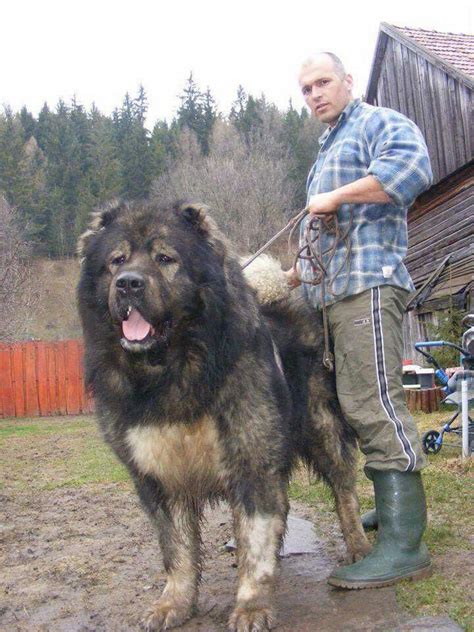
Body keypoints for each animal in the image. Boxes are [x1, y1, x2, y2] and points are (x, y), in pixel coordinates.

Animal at [77, 200, 370, 628]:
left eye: (165, 259)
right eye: (117, 261)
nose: (128, 283)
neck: (175, 370)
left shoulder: (251, 462)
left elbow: (254, 542)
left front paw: (251, 606)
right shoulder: (160, 477)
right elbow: (177, 552)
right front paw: (174, 603)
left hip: (323, 429)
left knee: (345, 490)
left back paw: (360, 548)